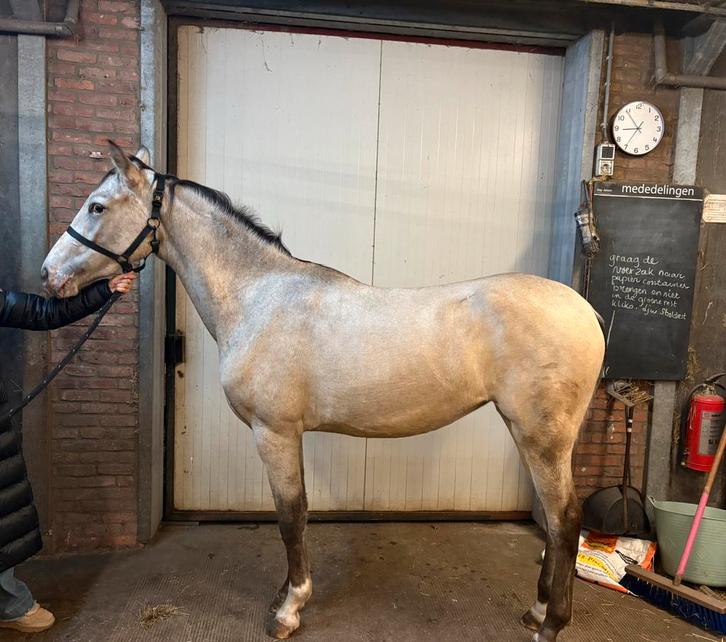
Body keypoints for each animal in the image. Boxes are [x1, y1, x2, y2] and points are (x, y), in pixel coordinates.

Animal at [42, 142, 604, 642]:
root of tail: (586, 311)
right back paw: (536, 610)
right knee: (556, 520)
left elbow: (291, 516)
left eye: (97, 206)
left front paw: (288, 610)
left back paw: (551, 622)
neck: (258, 296)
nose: (49, 276)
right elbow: (296, 514)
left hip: (541, 438)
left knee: (565, 519)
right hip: (527, 432)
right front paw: (284, 595)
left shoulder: (274, 433)